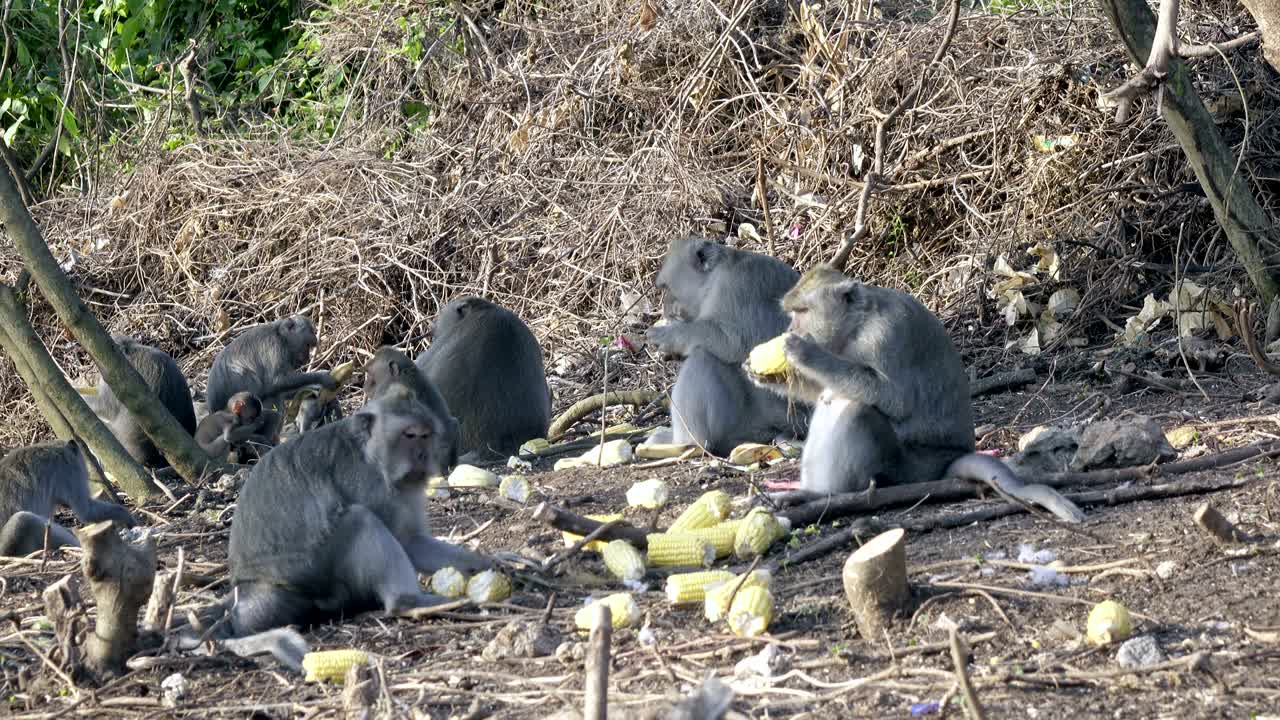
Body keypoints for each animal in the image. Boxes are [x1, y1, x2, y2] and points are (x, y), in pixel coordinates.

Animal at [180, 385, 492, 669]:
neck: (370, 454)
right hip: (314, 575)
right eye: (410, 435)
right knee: (359, 519)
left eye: (425, 436)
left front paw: (490, 563)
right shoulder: (370, 483)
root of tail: (245, 591)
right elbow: (401, 540)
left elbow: (413, 542)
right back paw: (406, 601)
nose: (421, 456)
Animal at [205, 315, 336, 442]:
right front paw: (322, 377)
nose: (308, 357)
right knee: (273, 396)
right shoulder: (275, 346)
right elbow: (276, 383)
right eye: (307, 345)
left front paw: (314, 388)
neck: (281, 336)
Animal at [644, 235, 807, 456]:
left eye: (667, 288)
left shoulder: (738, 285)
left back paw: (687, 443)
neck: (714, 279)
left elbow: (734, 341)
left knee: (704, 358)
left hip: (767, 415)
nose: (666, 308)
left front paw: (666, 335)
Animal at [747, 265, 1086, 521]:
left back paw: (827, 495)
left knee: (858, 410)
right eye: (793, 312)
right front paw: (761, 374)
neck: (857, 326)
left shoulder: (885, 335)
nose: (791, 329)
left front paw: (804, 352)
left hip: (909, 469)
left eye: (802, 311)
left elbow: (893, 398)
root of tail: (946, 462)